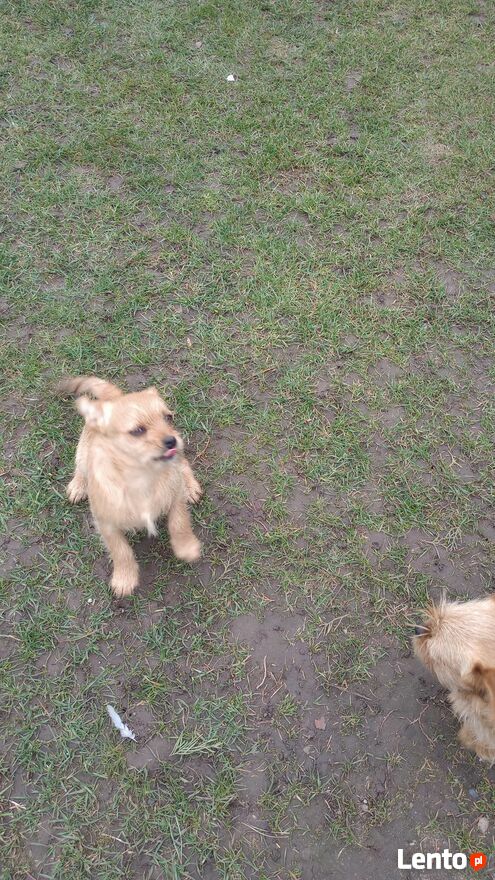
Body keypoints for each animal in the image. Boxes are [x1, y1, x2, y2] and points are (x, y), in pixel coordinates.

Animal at [58, 376, 202, 597]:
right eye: (137, 431)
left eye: (168, 418)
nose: (171, 440)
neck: (142, 476)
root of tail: (114, 397)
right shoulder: (106, 523)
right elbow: (120, 551)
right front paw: (124, 578)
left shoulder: (175, 499)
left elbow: (180, 524)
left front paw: (186, 547)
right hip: (82, 453)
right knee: (81, 467)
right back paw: (78, 485)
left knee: (183, 463)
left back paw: (191, 486)